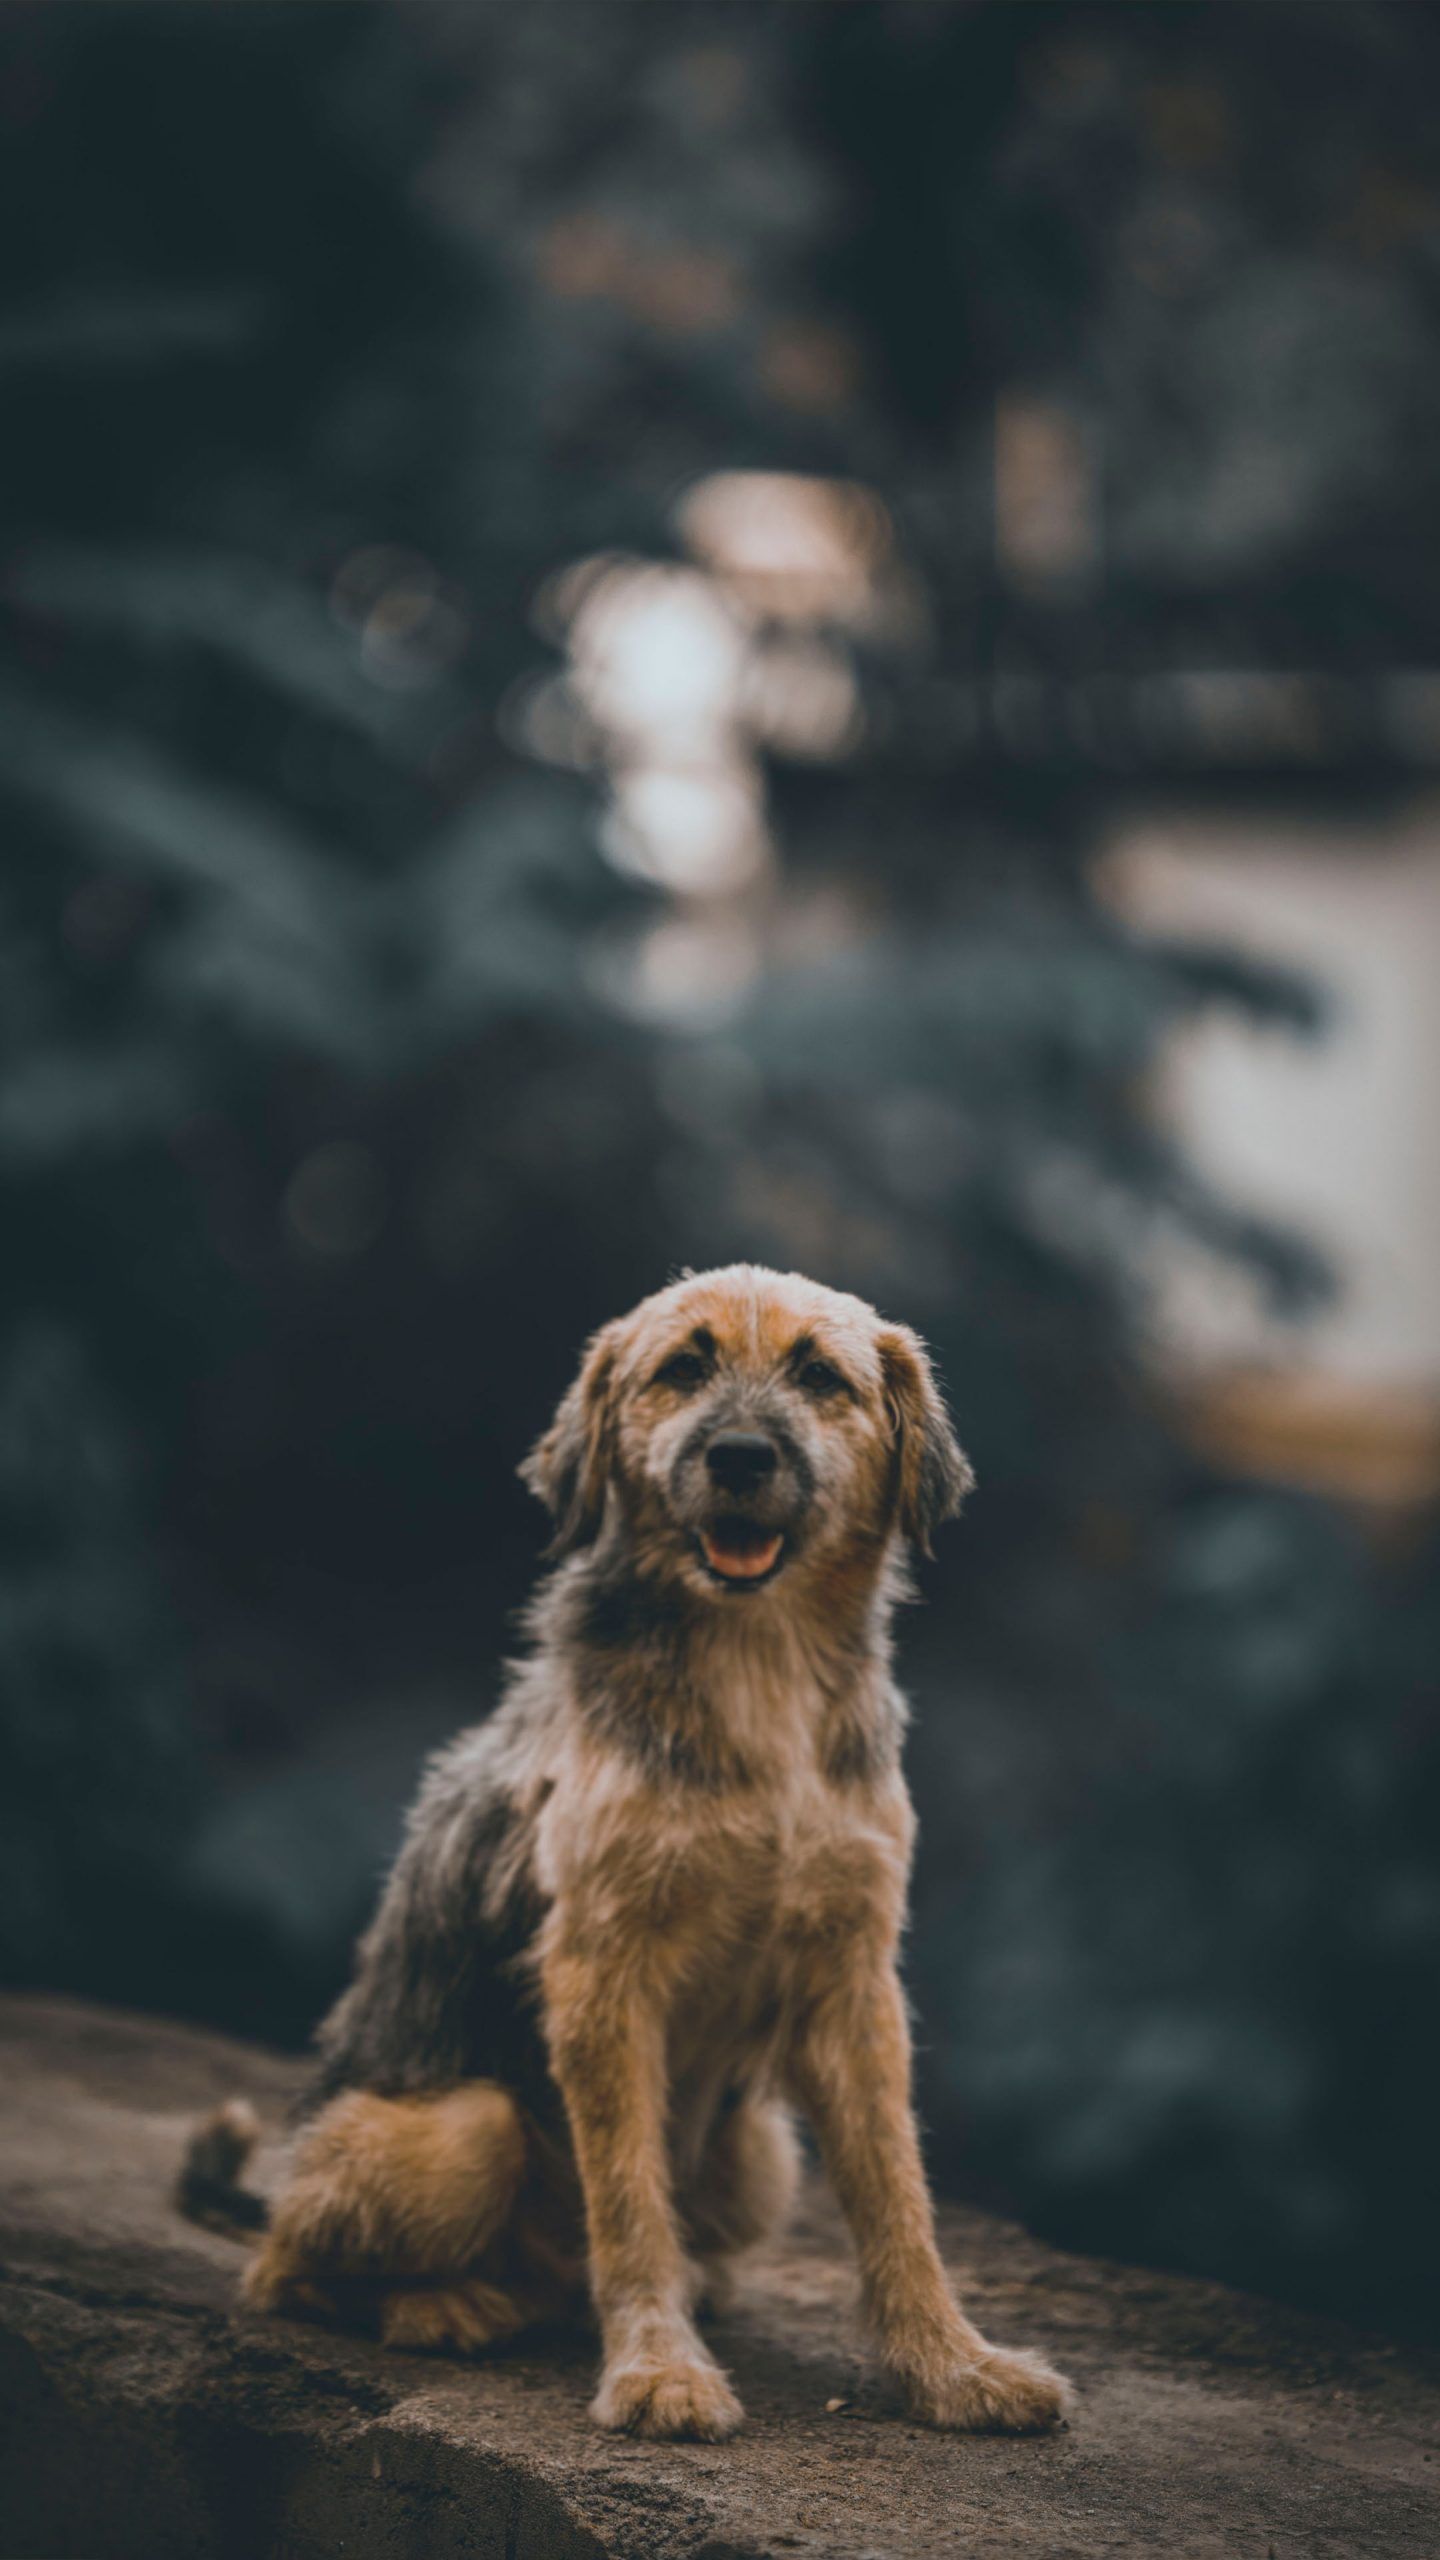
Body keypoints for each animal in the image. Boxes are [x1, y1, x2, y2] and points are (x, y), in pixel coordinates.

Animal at [181, 1269, 1065, 2447]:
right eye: (682, 1368)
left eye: (820, 1376)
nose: (739, 1456)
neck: (758, 1675)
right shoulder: (603, 1969)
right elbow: (630, 2194)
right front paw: (659, 2370)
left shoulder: (853, 1975)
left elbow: (895, 2190)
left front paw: (951, 2365)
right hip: (460, 2129)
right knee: (289, 2267)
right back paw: (446, 2304)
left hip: (760, 2151)